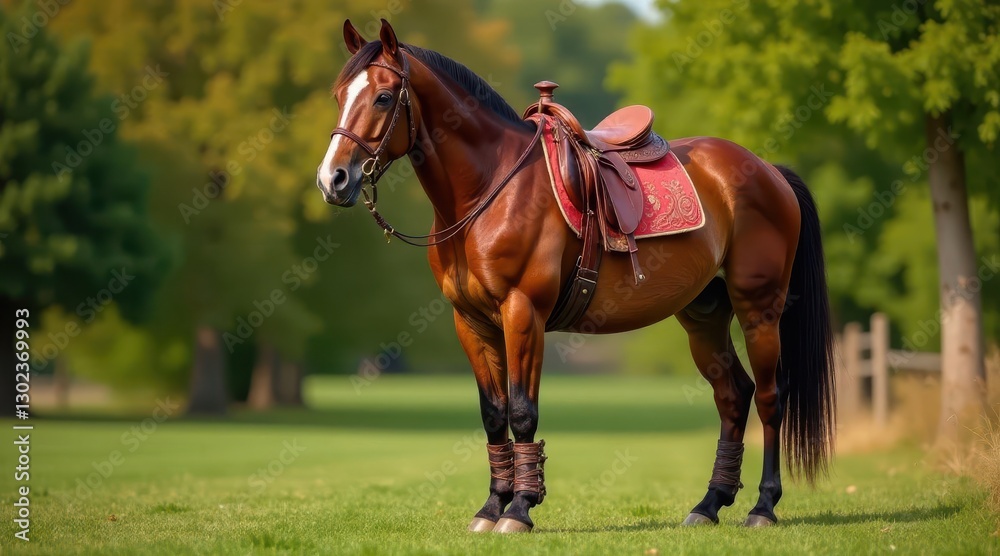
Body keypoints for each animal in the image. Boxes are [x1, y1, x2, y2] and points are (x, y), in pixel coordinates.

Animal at [316, 19, 835, 533]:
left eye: (384, 97)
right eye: (340, 95)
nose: (332, 179)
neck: (490, 189)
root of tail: (767, 169)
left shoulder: (523, 312)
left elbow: (522, 412)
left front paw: (520, 509)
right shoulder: (471, 321)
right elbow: (494, 414)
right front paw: (492, 506)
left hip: (758, 308)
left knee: (769, 398)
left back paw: (762, 506)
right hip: (703, 315)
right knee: (733, 396)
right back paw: (708, 504)